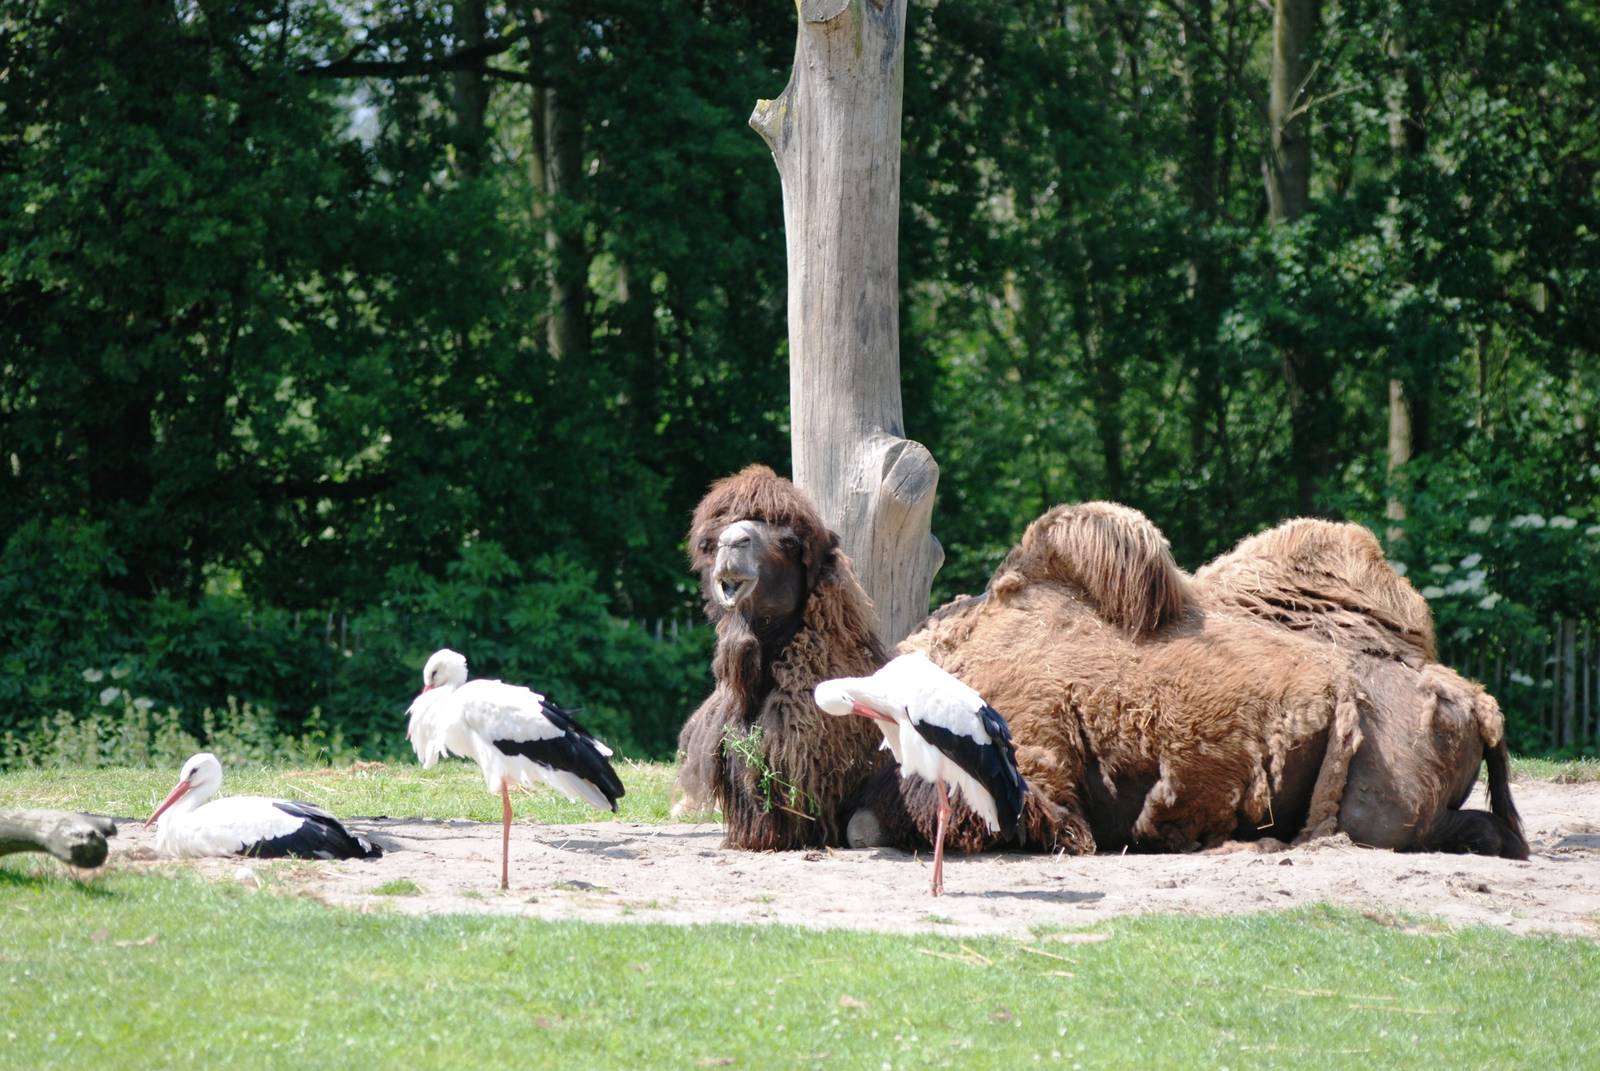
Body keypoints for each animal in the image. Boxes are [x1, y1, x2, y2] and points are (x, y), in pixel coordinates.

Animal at [676, 466, 1527, 860]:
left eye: (790, 538)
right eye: (712, 532)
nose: (731, 550)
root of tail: (1473, 700)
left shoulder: (1025, 775)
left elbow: (866, 827)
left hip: (1374, 792)